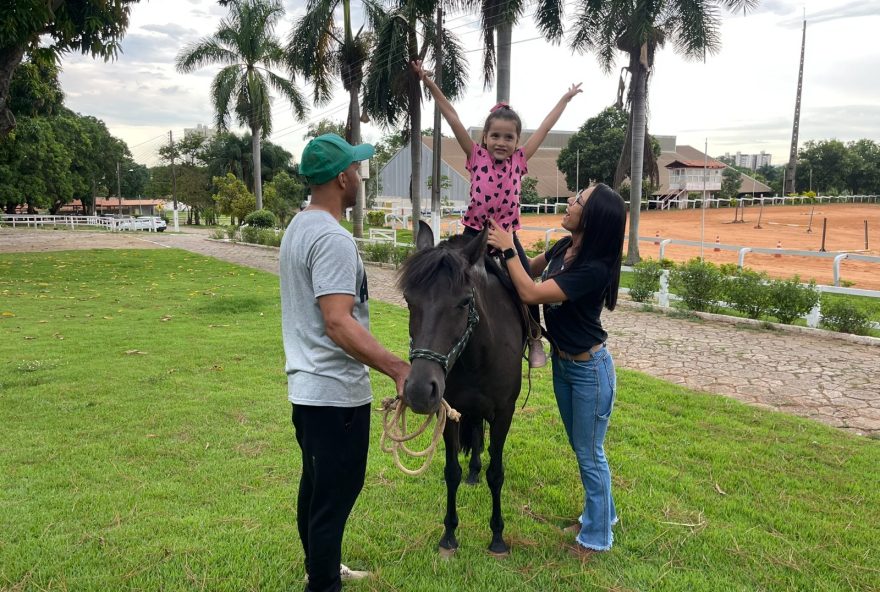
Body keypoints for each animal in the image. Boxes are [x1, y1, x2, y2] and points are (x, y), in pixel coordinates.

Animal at [398, 221, 524, 556]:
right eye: (408, 300)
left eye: (465, 301)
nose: (419, 390)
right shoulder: (450, 412)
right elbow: (451, 471)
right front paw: (449, 534)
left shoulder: (503, 414)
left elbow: (497, 473)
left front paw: (497, 537)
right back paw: (473, 471)